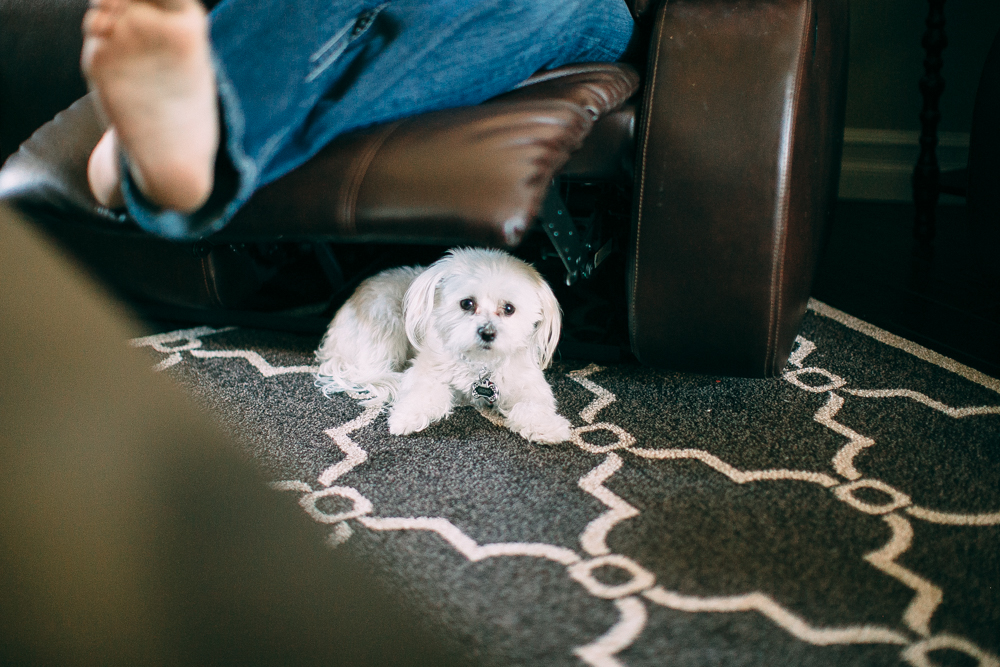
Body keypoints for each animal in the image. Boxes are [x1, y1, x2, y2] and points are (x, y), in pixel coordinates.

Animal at [316, 245, 576, 444]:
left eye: (509, 308)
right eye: (467, 303)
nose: (487, 332)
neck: (480, 363)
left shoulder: (528, 383)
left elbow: (533, 405)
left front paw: (546, 427)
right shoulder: (427, 369)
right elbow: (425, 393)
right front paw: (407, 416)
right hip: (387, 322)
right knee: (371, 370)